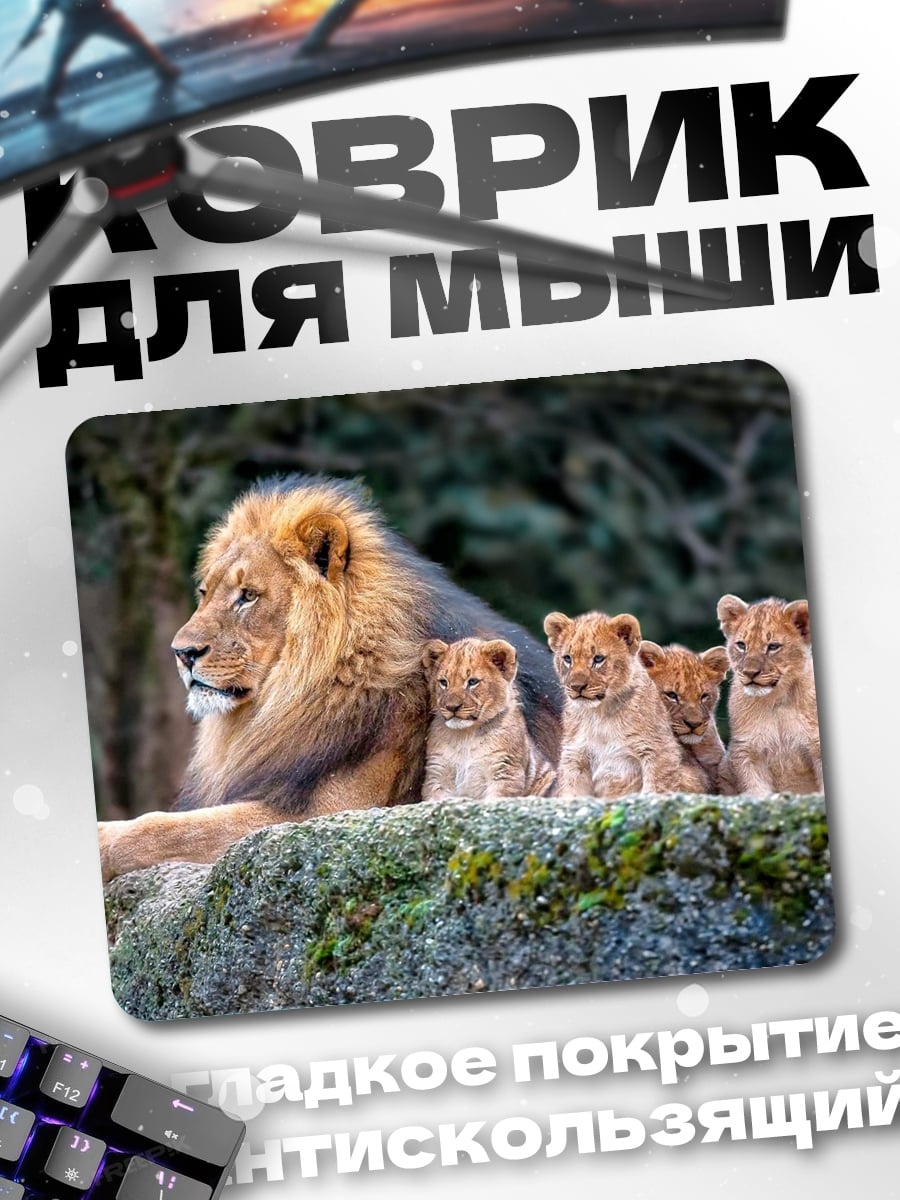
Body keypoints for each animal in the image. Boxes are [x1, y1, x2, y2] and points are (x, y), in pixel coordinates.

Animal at [420, 637, 556, 802]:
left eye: (472, 682)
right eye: (443, 682)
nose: (452, 707)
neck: (465, 736)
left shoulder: (505, 771)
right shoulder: (437, 774)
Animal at [543, 610, 690, 799]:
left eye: (598, 659)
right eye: (568, 659)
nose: (577, 687)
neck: (600, 715)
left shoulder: (659, 750)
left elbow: (656, 787)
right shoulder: (574, 756)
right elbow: (572, 793)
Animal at [716, 594, 822, 794]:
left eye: (773, 647)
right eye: (741, 645)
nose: (750, 673)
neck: (776, 700)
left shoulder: (816, 745)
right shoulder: (747, 751)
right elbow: (756, 789)